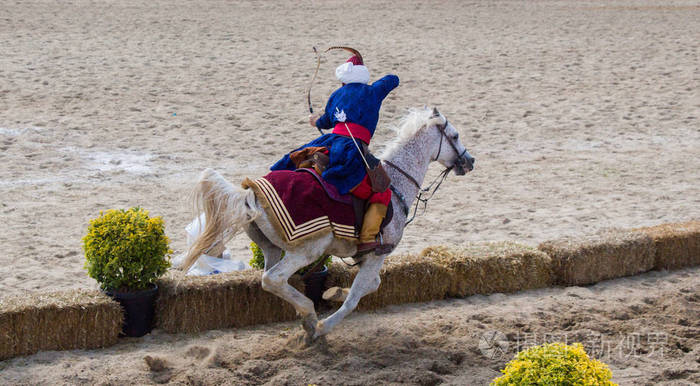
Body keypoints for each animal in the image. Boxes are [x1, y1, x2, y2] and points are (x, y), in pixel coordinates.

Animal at [180, 107, 476, 342]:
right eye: (455, 136)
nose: (470, 161)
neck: (396, 182)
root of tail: (250, 195)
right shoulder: (377, 255)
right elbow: (355, 297)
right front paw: (326, 324)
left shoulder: (367, 257)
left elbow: (372, 285)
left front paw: (333, 294)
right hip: (306, 249)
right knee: (272, 278)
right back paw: (310, 315)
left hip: (271, 248)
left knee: (271, 281)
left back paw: (305, 313)